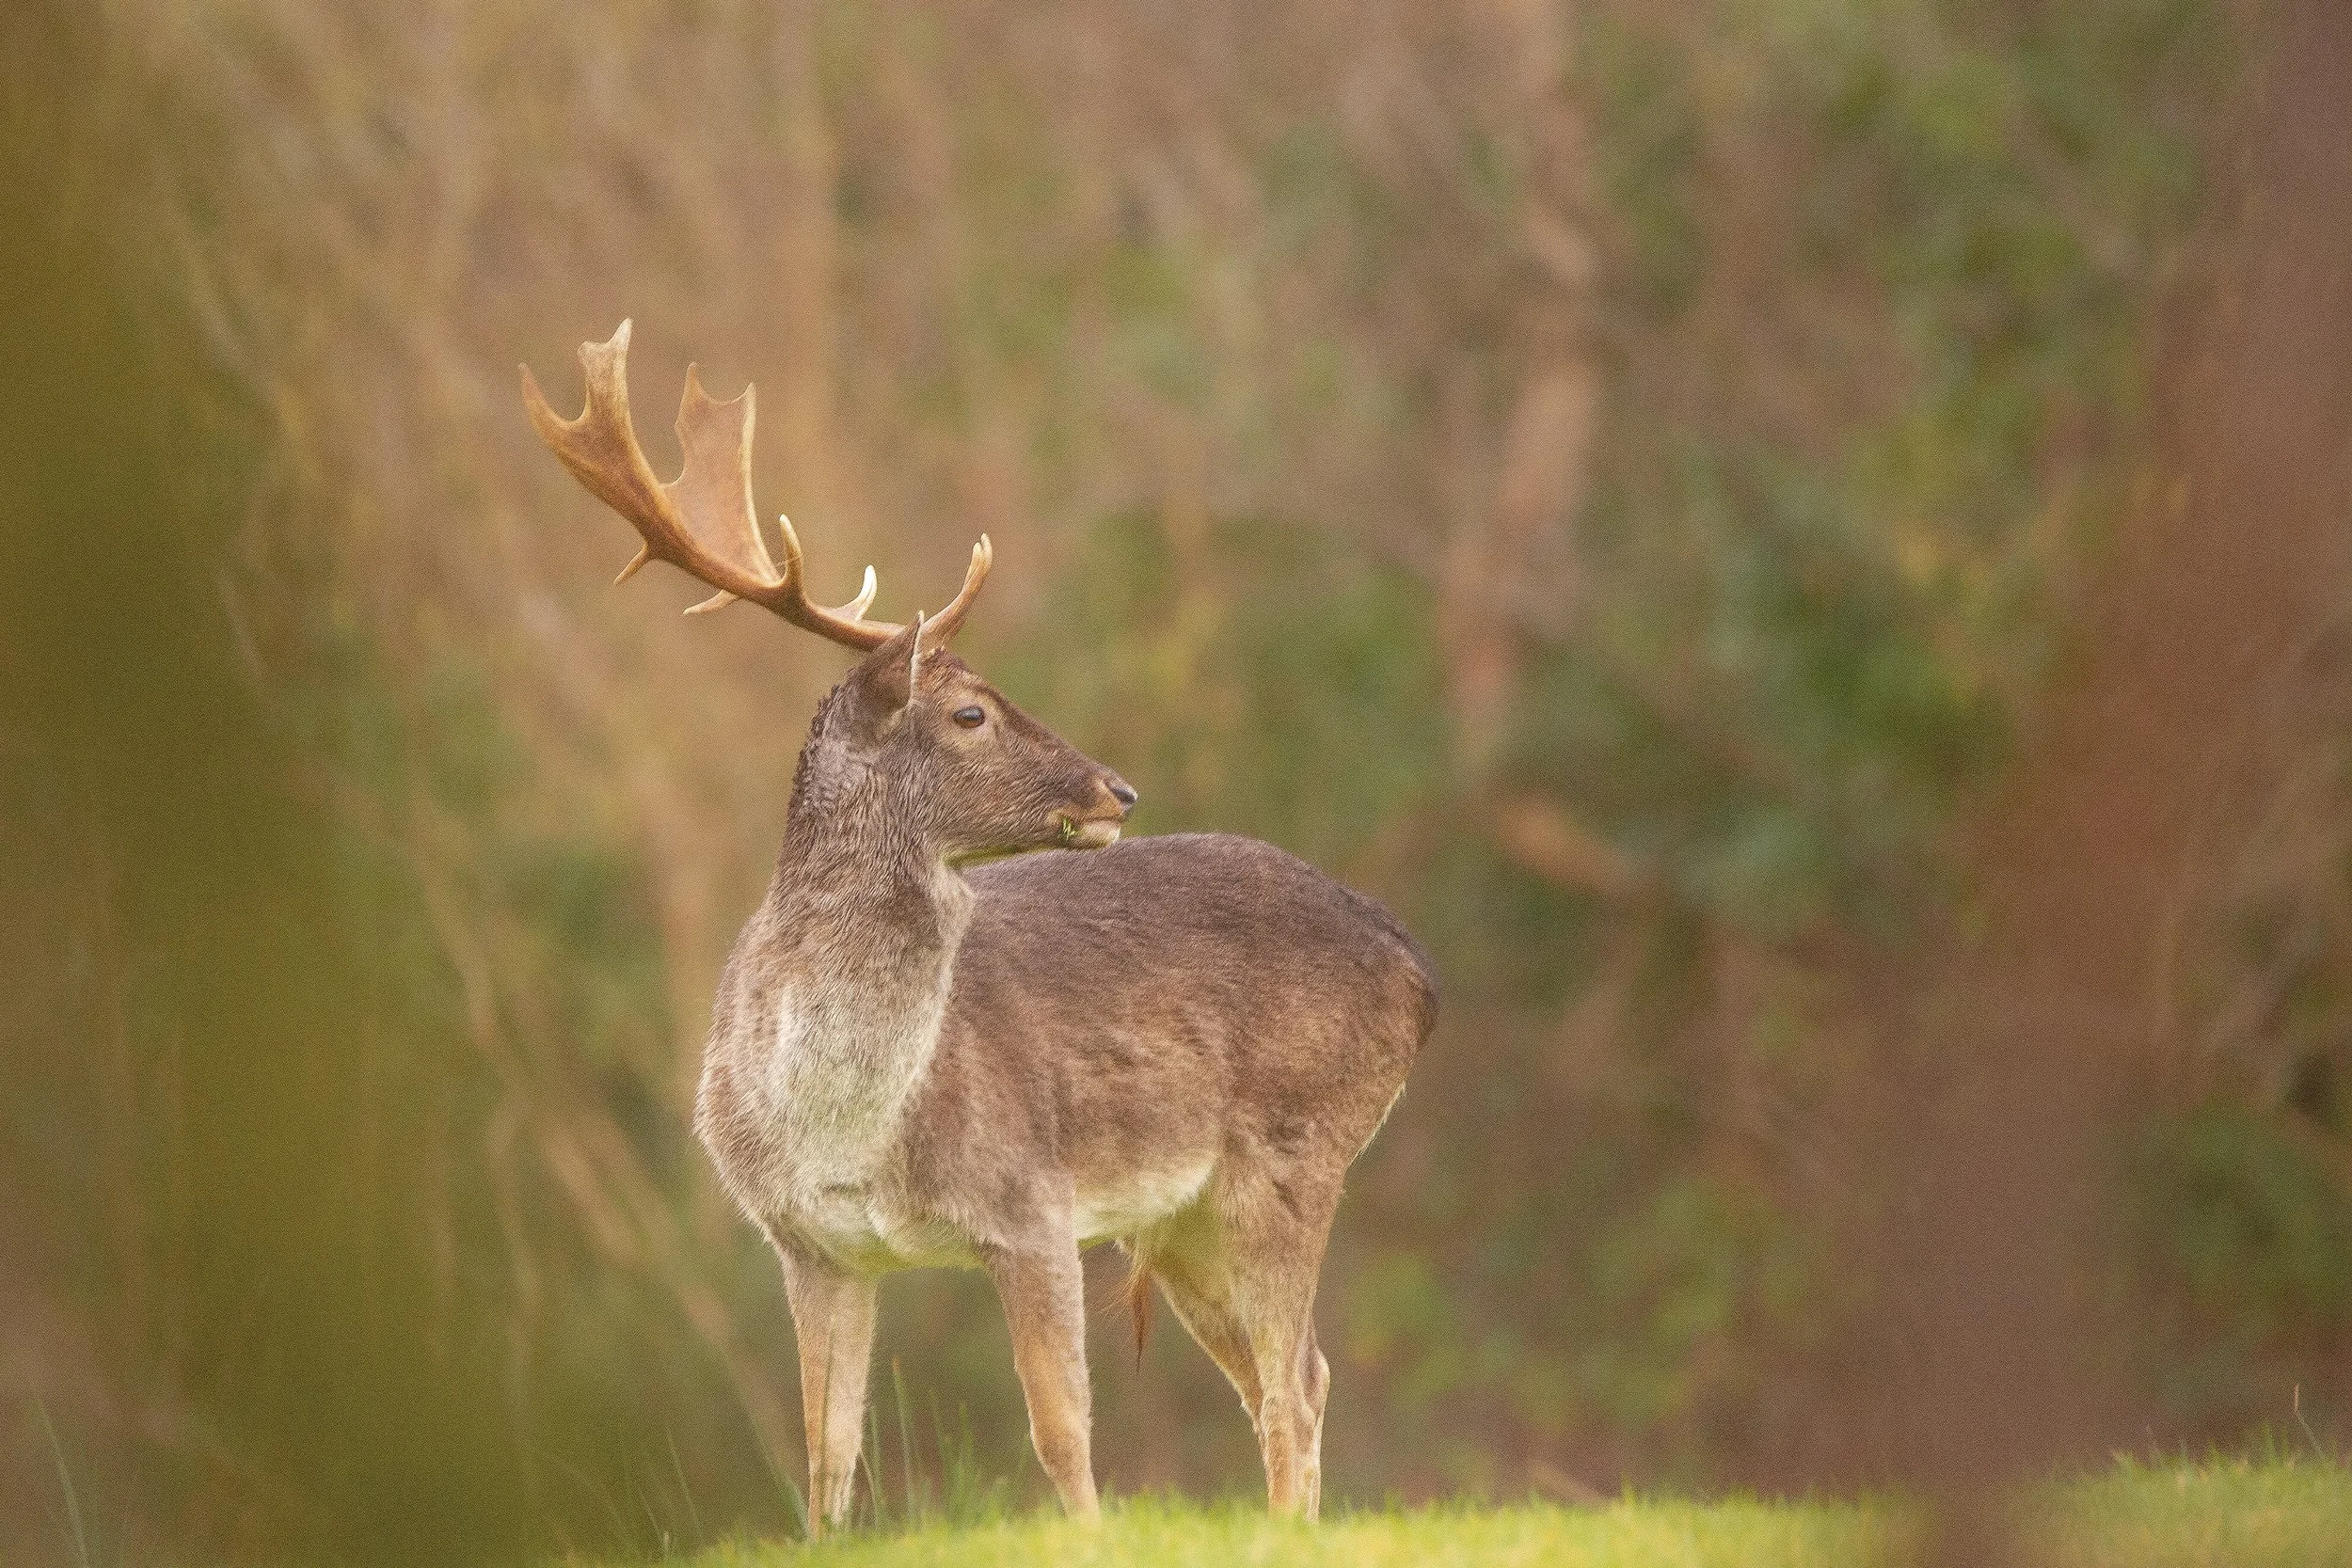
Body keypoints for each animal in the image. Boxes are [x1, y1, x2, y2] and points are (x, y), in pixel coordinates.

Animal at [521, 322, 1436, 1534]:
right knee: (1295, 1377)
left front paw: (1089, 1539)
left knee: (1294, 1382)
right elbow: (827, 1456)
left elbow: (1061, 1433)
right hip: (1184, 1212)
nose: (1116, 788)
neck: (844, 1119)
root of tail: (1418, 971)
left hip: (1294, 1145)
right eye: (970, 713)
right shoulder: (808, 1244)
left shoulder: (1028, 1200)